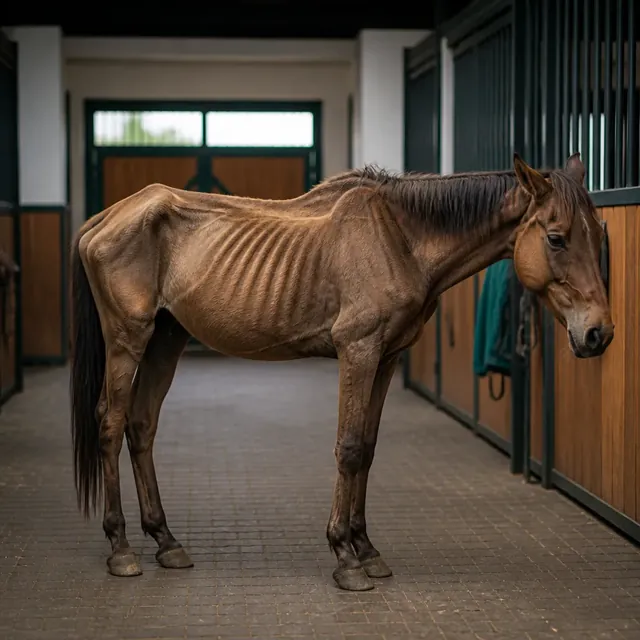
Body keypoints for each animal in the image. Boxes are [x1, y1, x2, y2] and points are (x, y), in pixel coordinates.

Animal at [69, 152, 613, 591]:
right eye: (557, 239)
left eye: (600, 236)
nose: (598, 334)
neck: (399, 237)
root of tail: (106, 218)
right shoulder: (359, 351)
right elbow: (348, 448)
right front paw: (345, 558)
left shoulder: (387, 359)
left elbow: (367, 450)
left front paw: (366, 550)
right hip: (128, 340)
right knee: (111, 425)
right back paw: (121, 549)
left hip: (166, 339)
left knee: (141, 426)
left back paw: (166, 541)